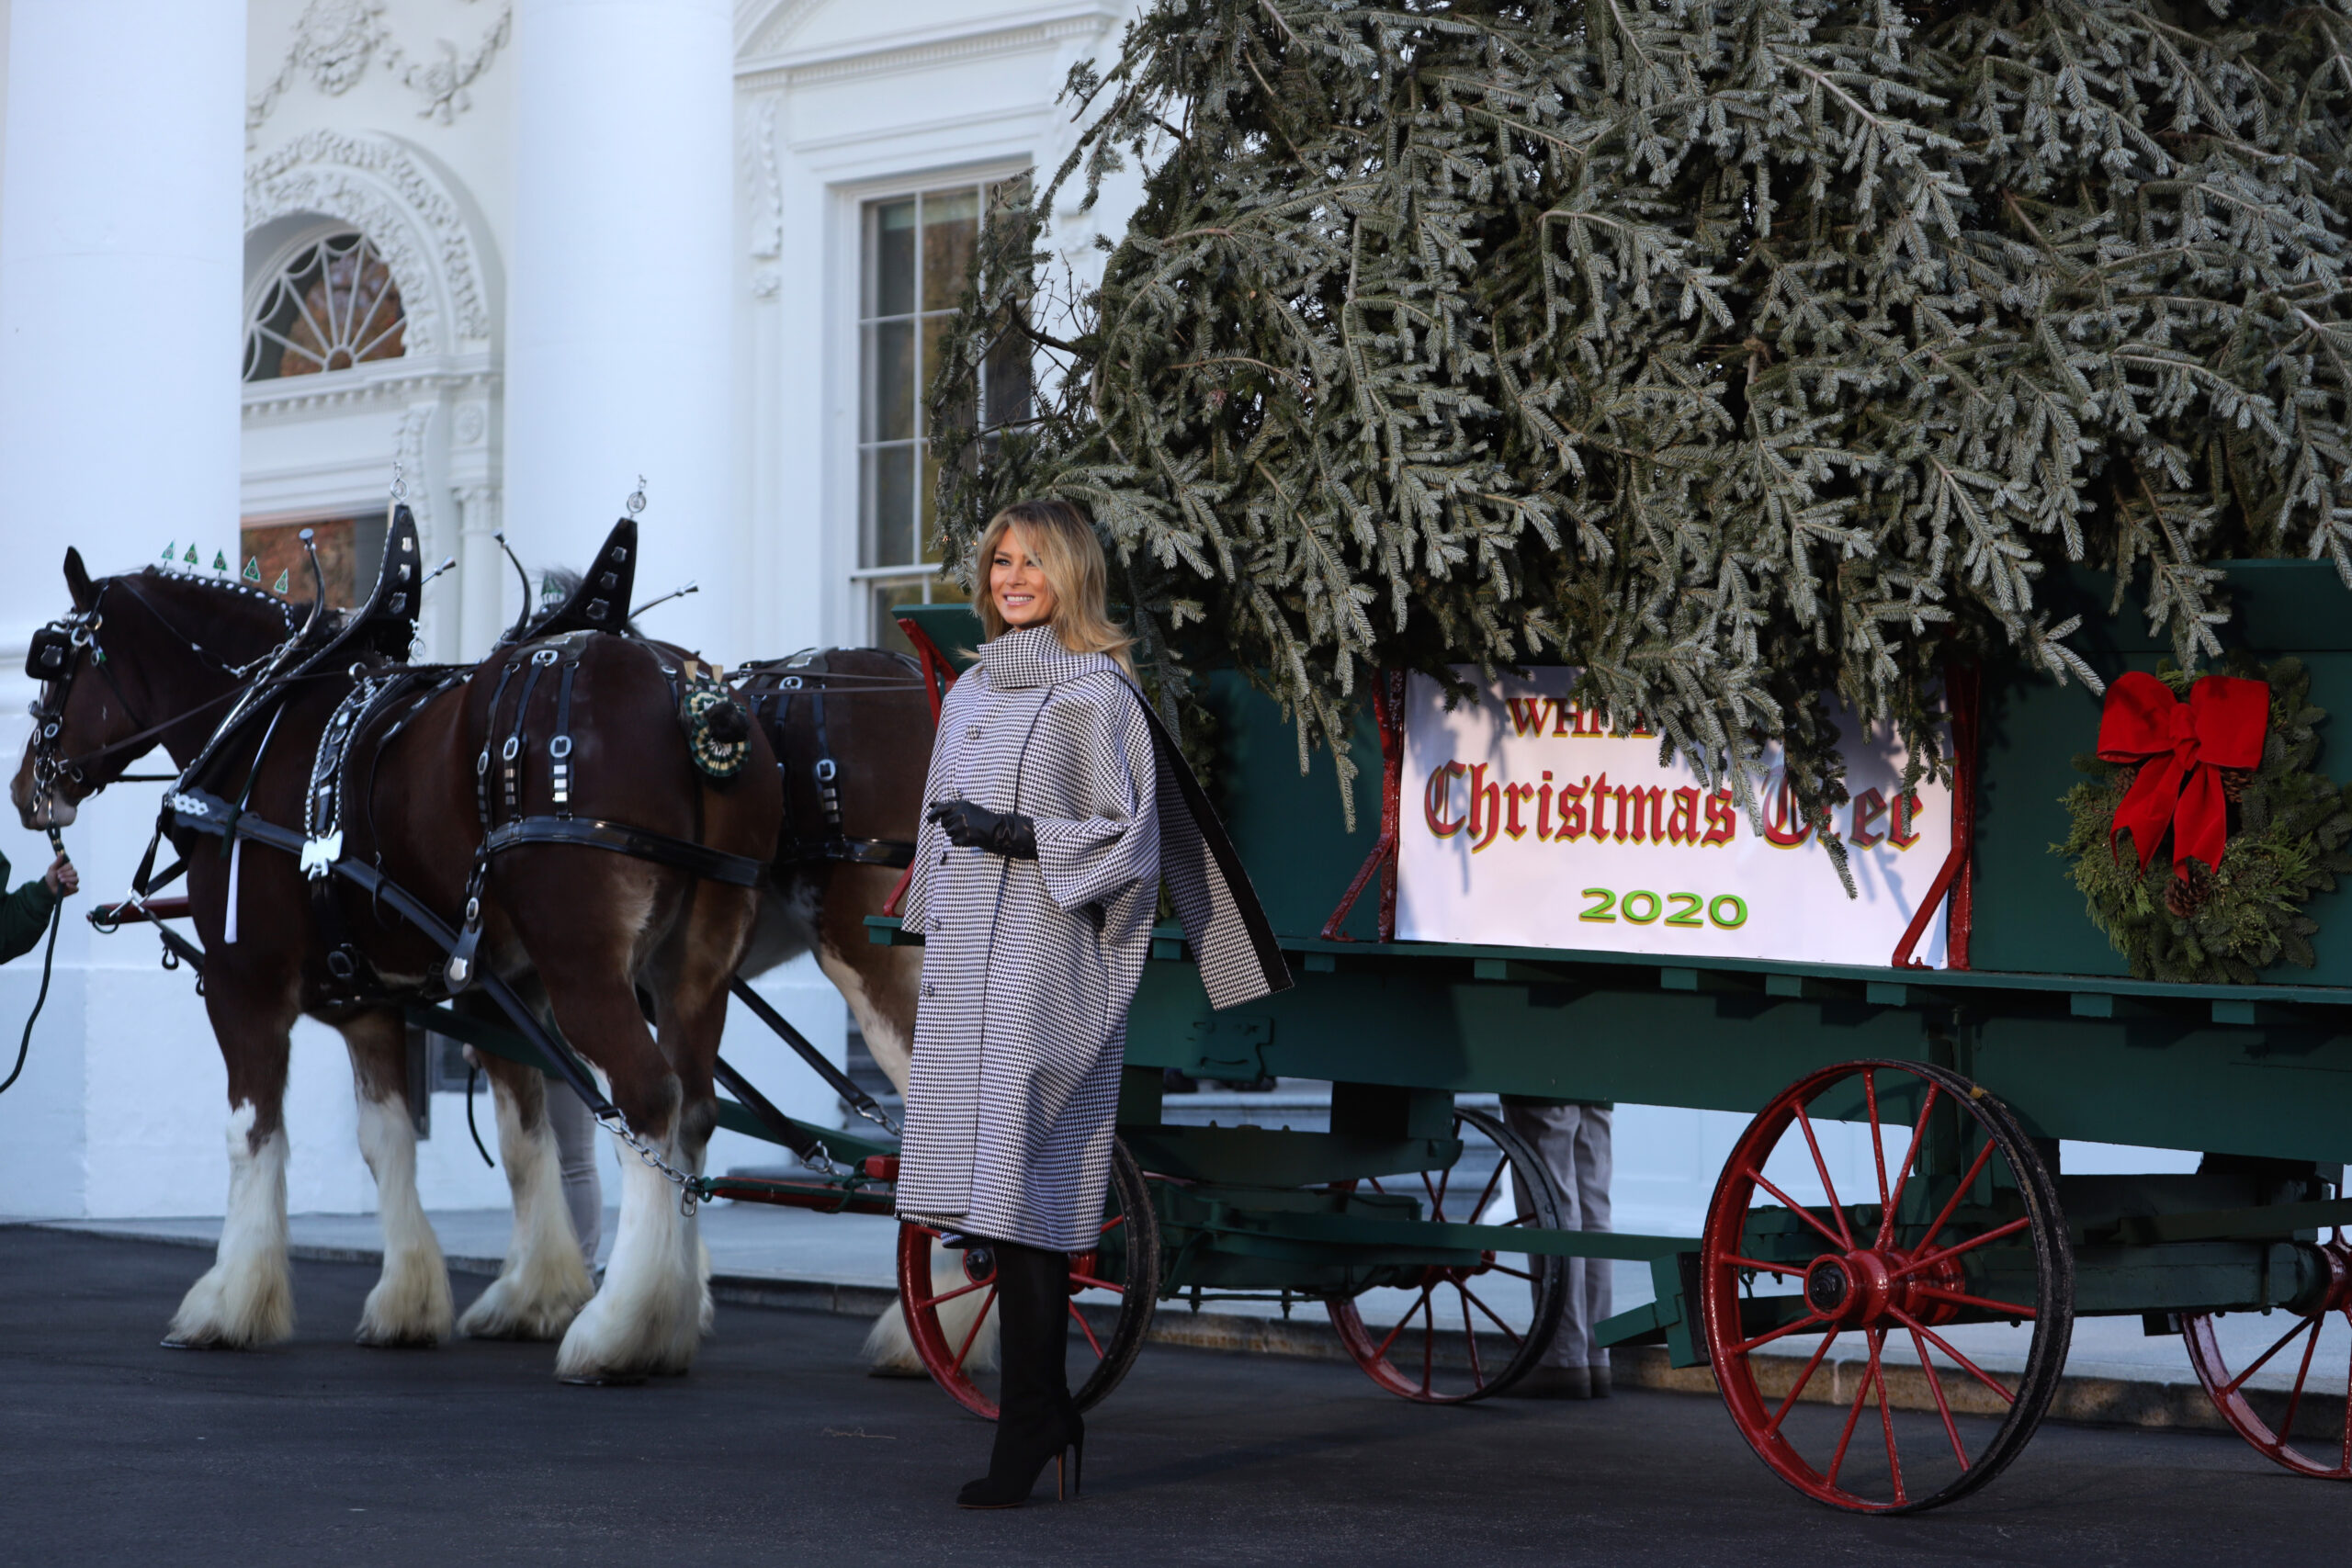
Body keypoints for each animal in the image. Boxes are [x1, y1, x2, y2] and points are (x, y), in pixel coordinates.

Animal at [11, 533, 780, 1382]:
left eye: (51, 661)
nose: (24, 788)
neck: (262, 724)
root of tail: (693, 695)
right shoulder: (386, 1000)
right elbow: (424, 1140)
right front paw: (437, 1298)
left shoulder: (244, 983)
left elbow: (251, 1133)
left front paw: (228, 1300)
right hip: (694, 966)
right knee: (696, 1112)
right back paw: (671, 1315)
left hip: (584, 965)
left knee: (648, 1100)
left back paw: (620, 1329)